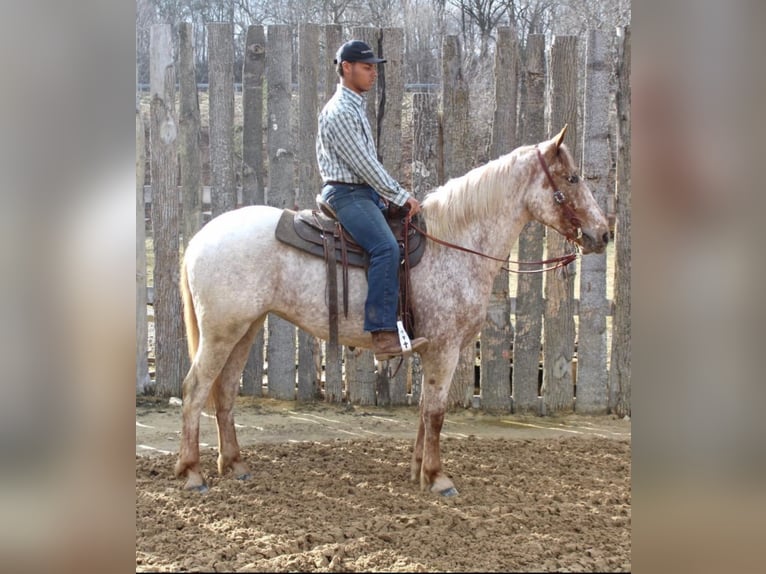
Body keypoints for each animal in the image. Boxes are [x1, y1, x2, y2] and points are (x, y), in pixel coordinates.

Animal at [176, 128, 612, 498]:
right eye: (572, 178)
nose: (604, 233)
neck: (454, 243)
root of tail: (199, 239)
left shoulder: (434, 351)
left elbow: (423, 410)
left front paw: (418, 470)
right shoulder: (444, 349)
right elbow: (435, 413)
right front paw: (438, 478)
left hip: (246, 328)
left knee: (224, 390)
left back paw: (235, 465)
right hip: (221, 333)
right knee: (195, 389)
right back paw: (192, 472)